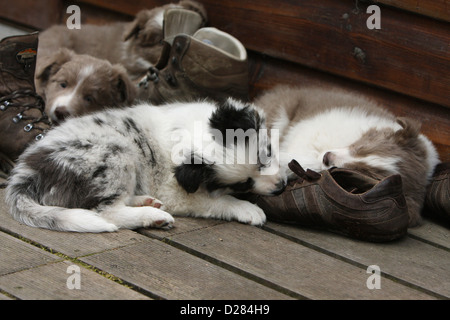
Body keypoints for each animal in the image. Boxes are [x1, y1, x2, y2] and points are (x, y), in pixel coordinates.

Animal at [5, 99, 284, 231]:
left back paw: (145, 202)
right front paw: (247, 209)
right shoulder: (178, 193)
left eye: (268, 154)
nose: (281, 188)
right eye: (243, 184)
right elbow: (219, 201)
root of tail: (26, 172)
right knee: (106, 211)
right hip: (118, 153)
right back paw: (152, 216)